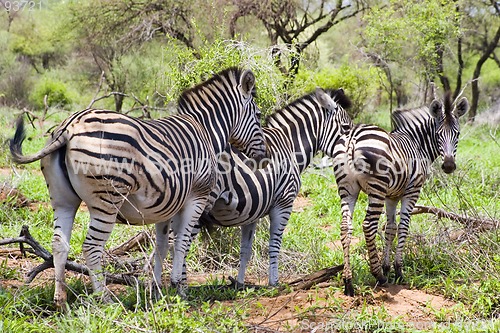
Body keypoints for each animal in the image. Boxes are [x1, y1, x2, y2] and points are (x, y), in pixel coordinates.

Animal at [8, 67, 266, 306]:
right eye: (258, 115)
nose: (263, 157)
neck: (206, 131)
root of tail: (68, 127)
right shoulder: (198, 196)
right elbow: (182, 243)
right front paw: (180, 289)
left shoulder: (169, 204)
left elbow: (163, 246)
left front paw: (158, 290)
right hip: (107, 199)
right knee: (91, 247)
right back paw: (106, 300)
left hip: (62, 199)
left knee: (59, 245)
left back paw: (60, 301)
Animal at [172, 87, 352, 286]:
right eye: (346, 127)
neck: (291, 146)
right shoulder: (284, 203)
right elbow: (274, 245)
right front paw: (274, 283)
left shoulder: (251, 213)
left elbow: (245, 250)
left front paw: (240, 284)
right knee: (180, 244)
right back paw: (181, 286)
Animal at [332, 91, 468, 296]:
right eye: (438, 135)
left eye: (457, 134)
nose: (449, 166)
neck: (418, 144)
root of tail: (352, 138)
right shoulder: (412, 191)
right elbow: (403, 227)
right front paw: (397, 270)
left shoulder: (392, 195)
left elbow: (390, 228)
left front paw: (387, 266)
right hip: (376, 188)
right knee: (368, 225)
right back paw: (378, 275)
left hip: (348, 189)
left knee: (345, 227)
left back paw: (348, 282)